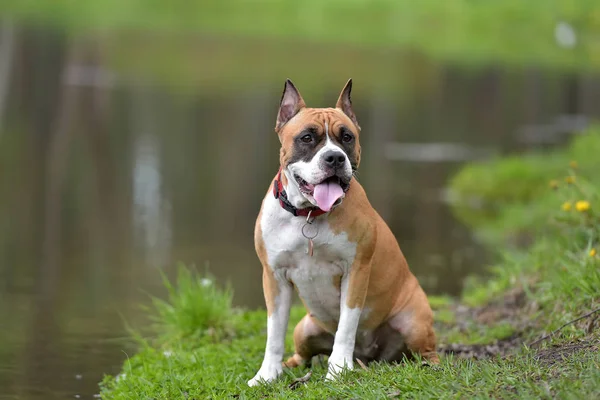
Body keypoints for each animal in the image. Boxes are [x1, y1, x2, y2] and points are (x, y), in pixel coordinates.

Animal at [246, 79, 438, 386]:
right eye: (307, 138)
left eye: (347, 137)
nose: (334, 157)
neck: (309, 215)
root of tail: (368, 356)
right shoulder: (273, 277)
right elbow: (274, 331)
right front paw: (266, 374)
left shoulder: (355, 271)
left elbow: (347, 324)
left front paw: (338, 369)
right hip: (305, 328)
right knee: (302, 355)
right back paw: (288, 367)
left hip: (414, 322)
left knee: (428, 351)